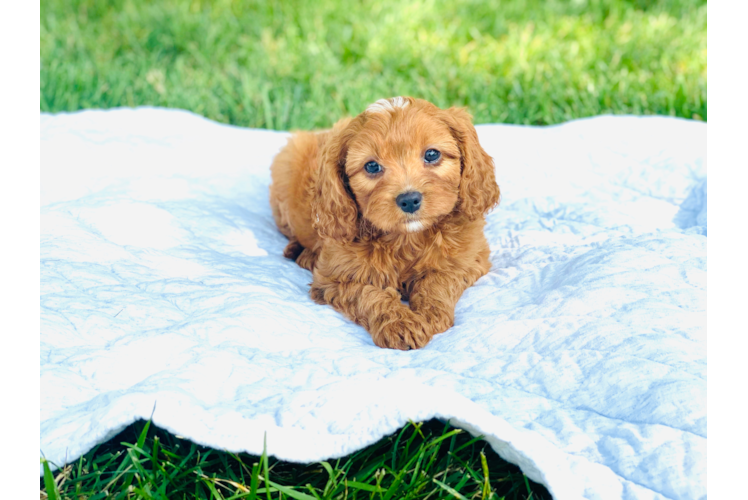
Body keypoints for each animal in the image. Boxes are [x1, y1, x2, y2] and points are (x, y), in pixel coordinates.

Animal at [266, 95, 500, 350]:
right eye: (371, 166)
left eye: (431, 154)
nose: (409, 200)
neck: (407, 238)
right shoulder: (334, 279)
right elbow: (368, 293)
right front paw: (400, 323)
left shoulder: (470, 258)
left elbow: (440, 279)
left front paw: (430, 314)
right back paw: (302, 254)